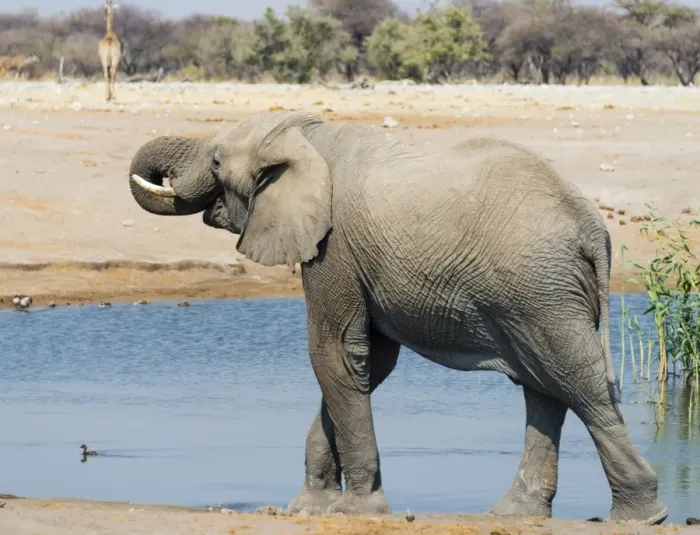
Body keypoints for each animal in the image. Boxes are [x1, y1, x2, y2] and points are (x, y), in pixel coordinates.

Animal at [127, 111, 668, 525]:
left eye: (217, 161)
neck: (305, 133)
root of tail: (593, 228)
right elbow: (369, 363)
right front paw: (309, 508)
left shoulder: (334, 247)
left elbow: (335, 352)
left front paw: (352, 511)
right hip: (539, 294)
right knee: (545, 385)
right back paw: (515, 515)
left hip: (540, 289)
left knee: (578, 384)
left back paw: (642, 518)